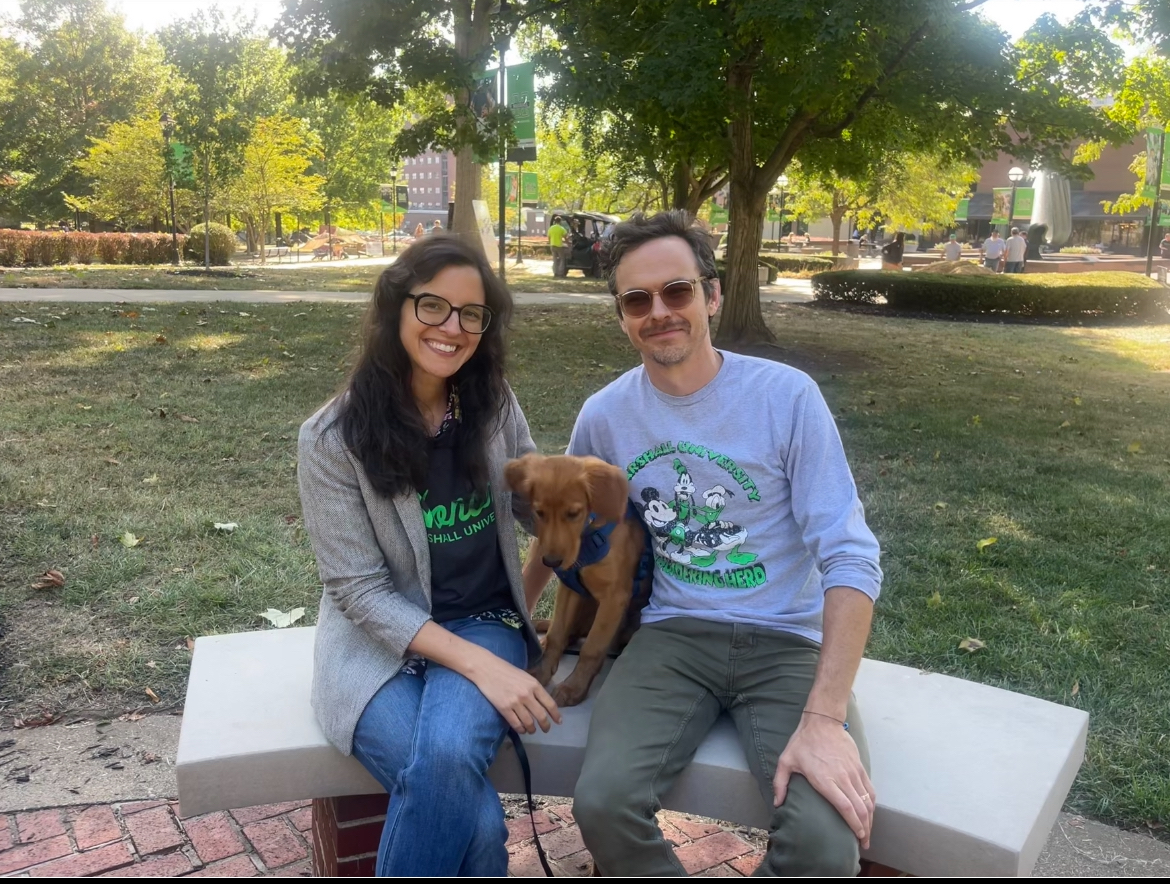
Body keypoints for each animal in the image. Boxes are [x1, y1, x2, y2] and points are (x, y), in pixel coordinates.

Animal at [500, 456, 650, 706]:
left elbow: (592, 648)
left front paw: (574, 688)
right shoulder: (571, 589)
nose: (551, 562)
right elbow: (556, 634)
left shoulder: (614, 597)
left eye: (573, 513)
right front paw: (543, 672)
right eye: (539, 512)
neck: (588, 536)